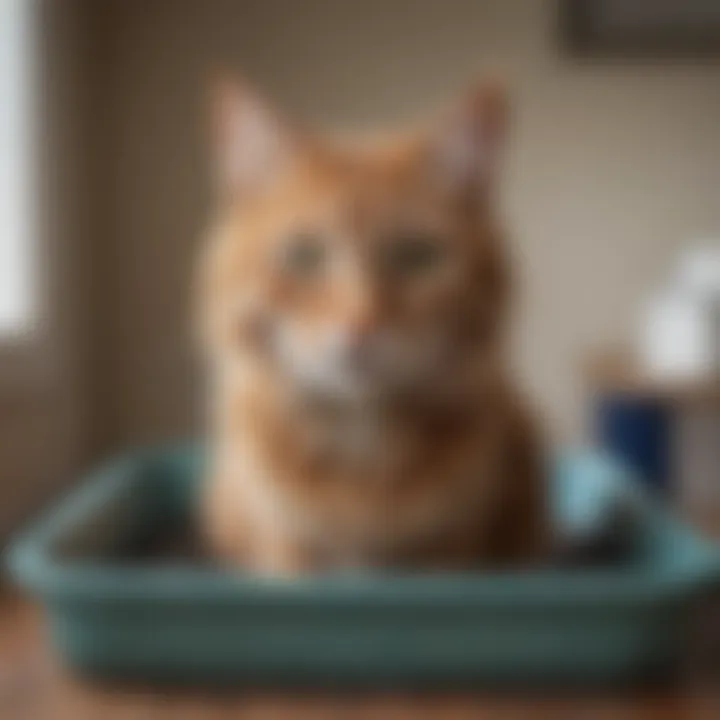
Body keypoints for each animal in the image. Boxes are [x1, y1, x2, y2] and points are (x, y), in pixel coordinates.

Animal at [197, 79, 544, 572]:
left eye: (417, 255)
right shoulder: (282, 546)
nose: (360, 323)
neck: (361, 448)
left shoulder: (455, 547)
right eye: (303, 254)